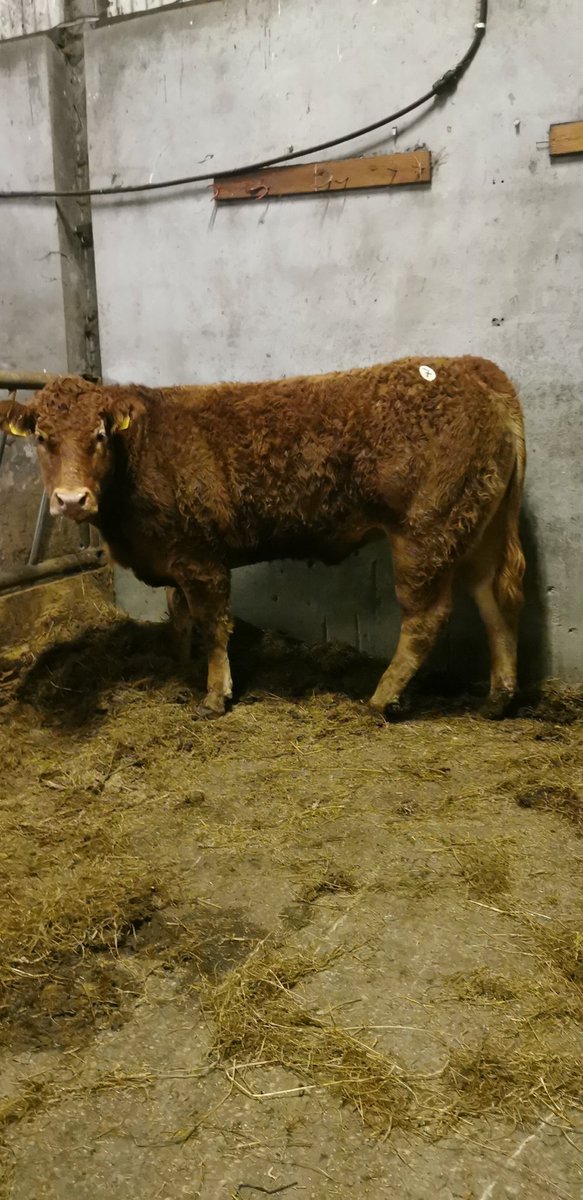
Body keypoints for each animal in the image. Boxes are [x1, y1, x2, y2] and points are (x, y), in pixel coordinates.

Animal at [0, 357, 526, 719]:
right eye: (41, 437)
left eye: (100, 434)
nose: (71, 500)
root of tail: (473, 366)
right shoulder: (173, 554)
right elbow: (179, 618)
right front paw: (183, 665)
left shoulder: (201, 557)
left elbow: (213, 624)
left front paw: (215, 695)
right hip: (476, 529)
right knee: (494, 606)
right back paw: (497, 699)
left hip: (424, 533)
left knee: (426, 618)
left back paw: (381, 697)